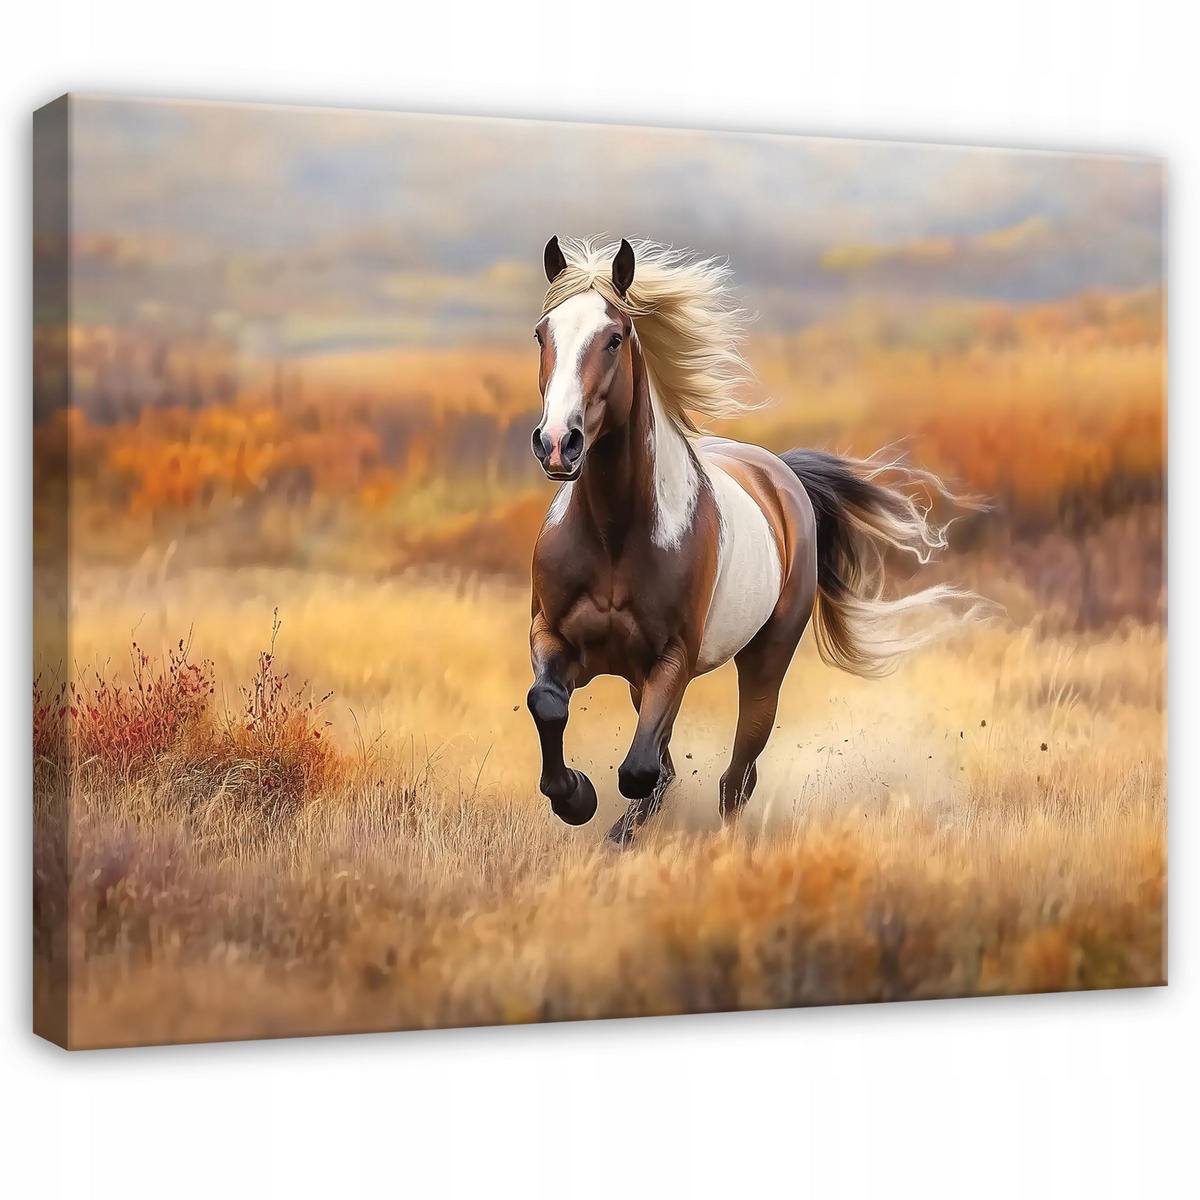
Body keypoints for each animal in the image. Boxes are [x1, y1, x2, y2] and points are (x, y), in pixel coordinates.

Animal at [526, 235, 974, 845]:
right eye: (541, 334)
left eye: (614, 338)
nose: (557, 443)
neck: (615, 536)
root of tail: (781, 474)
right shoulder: (551, 635)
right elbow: (549, 706)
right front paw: (575, 798)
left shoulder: (674, 659)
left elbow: (641, 769)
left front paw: (591, 803)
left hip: (765, 661)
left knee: (736, 774)